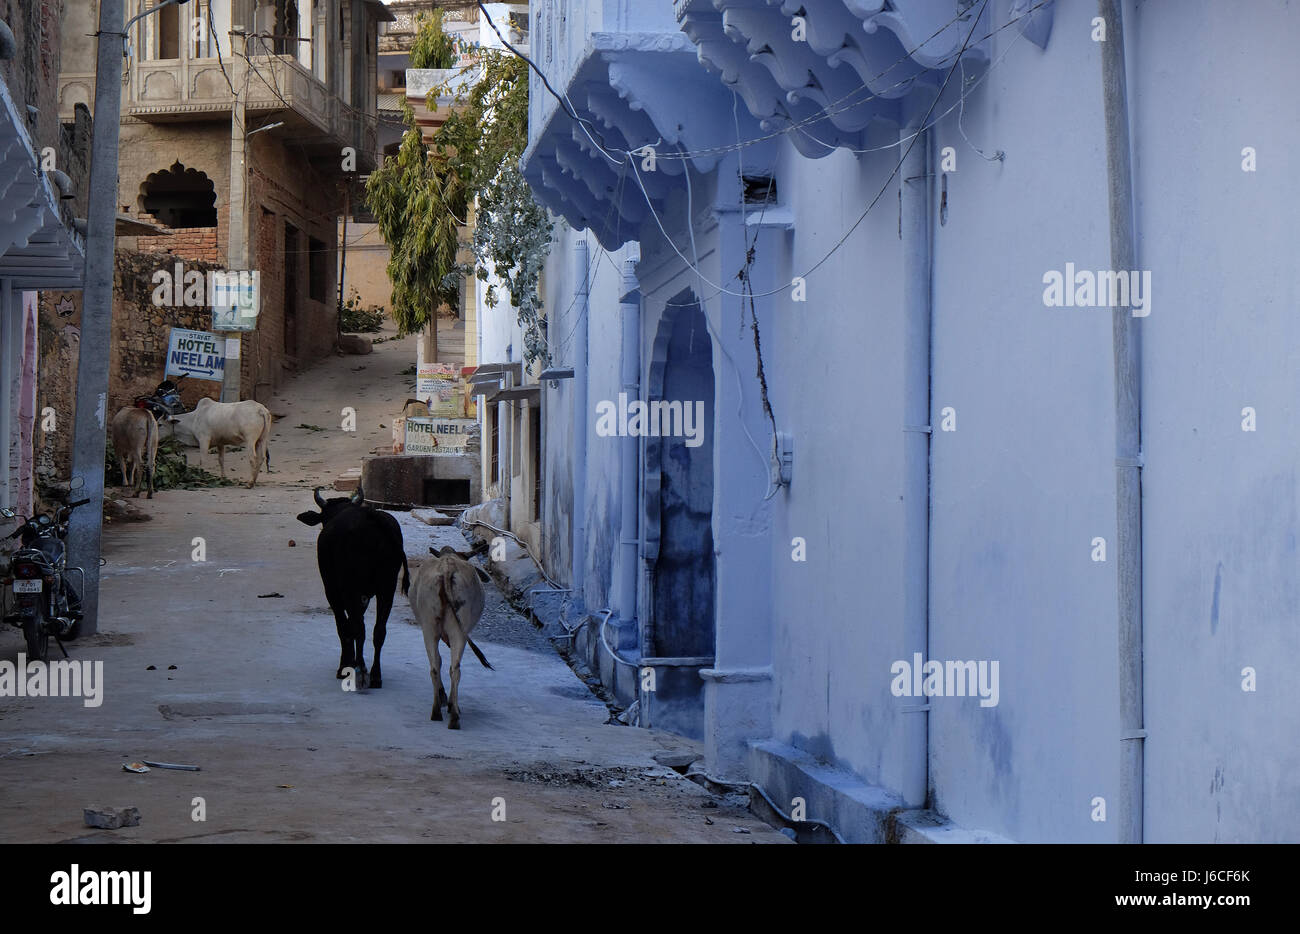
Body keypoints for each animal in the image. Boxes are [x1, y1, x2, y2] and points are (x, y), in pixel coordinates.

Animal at [296, 486, 408, 692]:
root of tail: (371, 518)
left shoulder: (334, 591)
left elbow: (344, 627)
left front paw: (345, 666)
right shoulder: (365, 595)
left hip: (350, 589)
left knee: (358, 628)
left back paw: (361, 672)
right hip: (387, 588)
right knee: (378, 631)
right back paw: (375, 676)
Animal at [405, 548, 491, 733]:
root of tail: (447, 568)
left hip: (430, 627)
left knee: (437, 667)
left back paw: (440, 710)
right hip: (457, 630)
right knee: (454, 669)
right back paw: (453, 714)